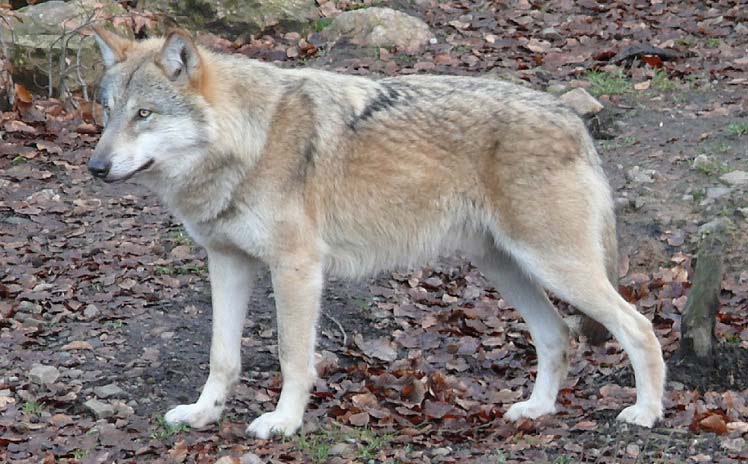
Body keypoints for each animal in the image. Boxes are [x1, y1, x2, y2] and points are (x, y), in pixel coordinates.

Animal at [88, 26, 666, 439]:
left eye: (144, 114)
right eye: (108, 113)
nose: (95, 166)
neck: (250, 140)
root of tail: (573, 119)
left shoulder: (297, 269)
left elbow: (293, 357)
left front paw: (283, 423)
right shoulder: (227, 262)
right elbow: (221, 356)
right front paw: (204, 414)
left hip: (556, 267)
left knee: (639, 328)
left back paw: (646, 412)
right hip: (505, 268)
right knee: (557, 335)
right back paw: (537, 410)